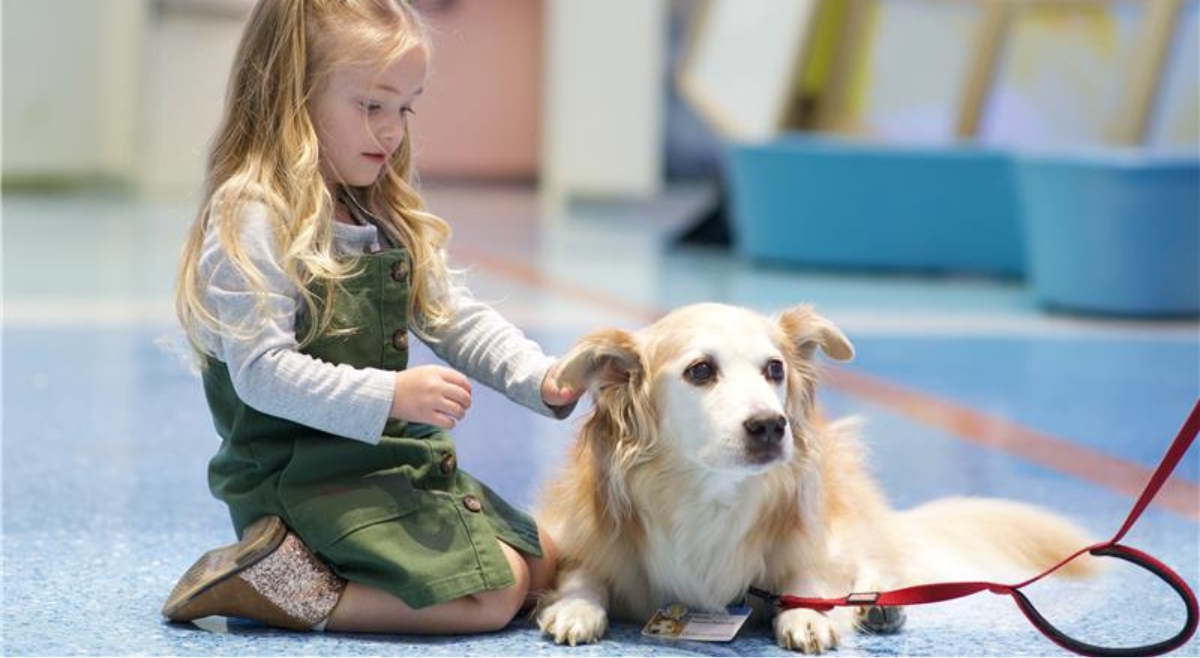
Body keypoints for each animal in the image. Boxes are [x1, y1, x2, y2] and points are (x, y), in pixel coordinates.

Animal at [535, 303, 1099, 653]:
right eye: (700, 371)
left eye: (774, 369)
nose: (770, 425)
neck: (709, 490)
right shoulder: (578, 531)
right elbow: (583, 572)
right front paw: (575, 606)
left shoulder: (807, 537)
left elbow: (809, 577)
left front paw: (808, 615)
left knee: (867, 560)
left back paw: (878, 604)